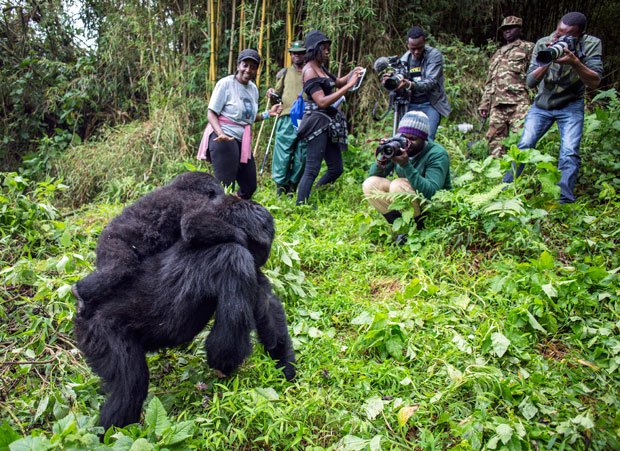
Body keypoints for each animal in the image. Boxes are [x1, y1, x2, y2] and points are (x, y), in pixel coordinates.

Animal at [74, 194, 296, 430]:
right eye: (264, 243)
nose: (266, 253)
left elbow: (268, 308)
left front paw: (286, 370)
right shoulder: (237, 258)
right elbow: (223, 344)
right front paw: (225, 371)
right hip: (99, 332)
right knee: (129, 386)